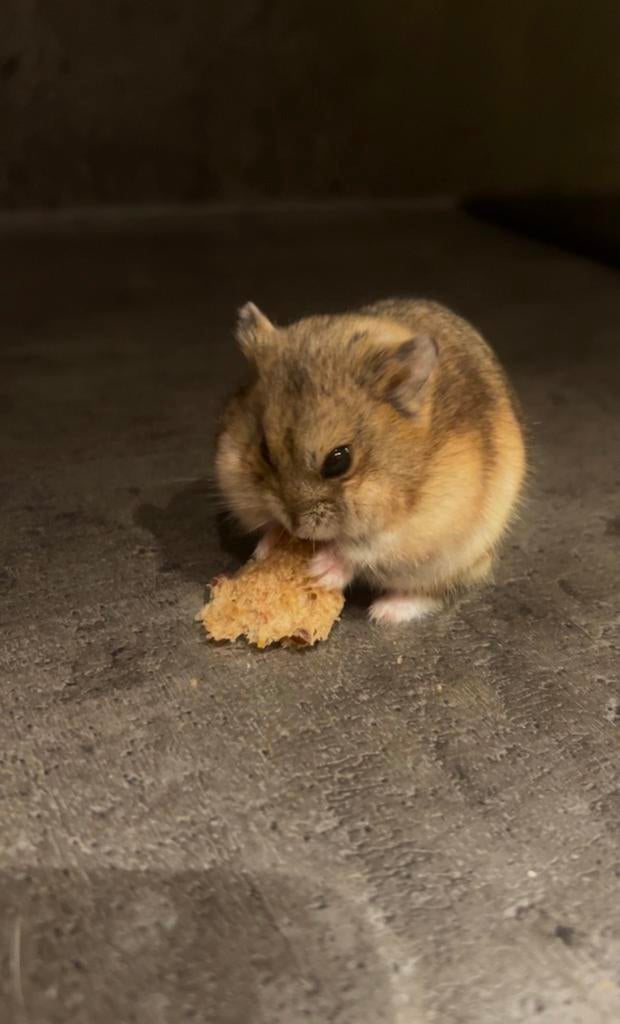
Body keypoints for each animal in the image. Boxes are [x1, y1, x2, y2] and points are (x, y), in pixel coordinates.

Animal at [215, 298, 526, 624]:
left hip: (458, 559)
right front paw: (266, 549)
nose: (298, 529)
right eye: (264, 450)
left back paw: (384, 612)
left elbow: (360, 550)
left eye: (338, 461)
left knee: (433, 591)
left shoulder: (414, 528)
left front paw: (319, 571)